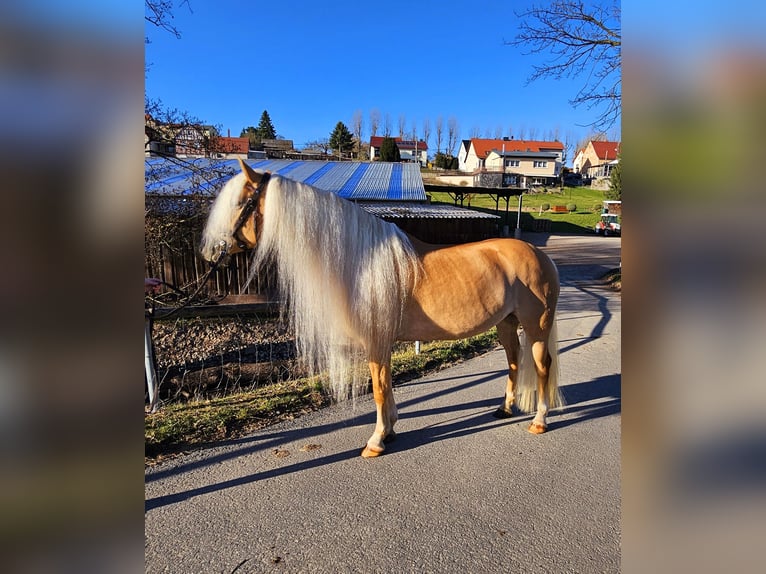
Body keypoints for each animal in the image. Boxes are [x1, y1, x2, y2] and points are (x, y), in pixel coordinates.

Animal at [200, 159, 563, 458]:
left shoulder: (376, 342)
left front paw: (375, 442)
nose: (209, 252)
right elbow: (386, 386)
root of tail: (538, 254)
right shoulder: (382, 342)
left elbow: (378, 389)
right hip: (506, 323)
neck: (361, 263)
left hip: (536, 325)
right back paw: (505, 409)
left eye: (241, 203)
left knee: (541, 365)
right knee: (514, 361)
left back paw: (540, 420)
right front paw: (388, 431)